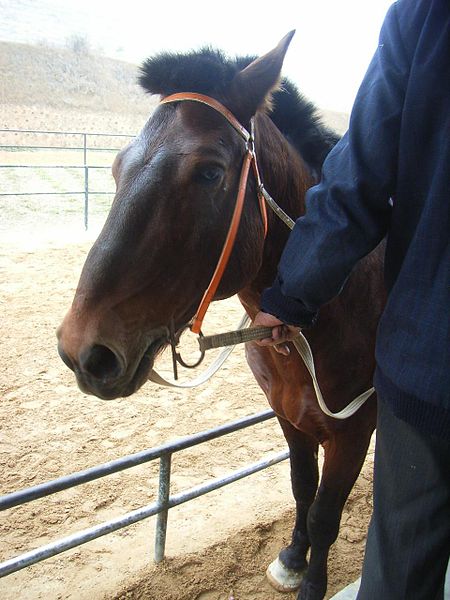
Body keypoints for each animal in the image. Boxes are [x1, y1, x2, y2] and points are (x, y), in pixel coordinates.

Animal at [58, 32, 384, 600]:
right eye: (118, 167)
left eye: (209, 171)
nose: (83, 351)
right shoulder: (289, 417)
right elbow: (303, 488)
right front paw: (292, 559)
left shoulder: (353, 431)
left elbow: (325, 514)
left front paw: (312, 581)